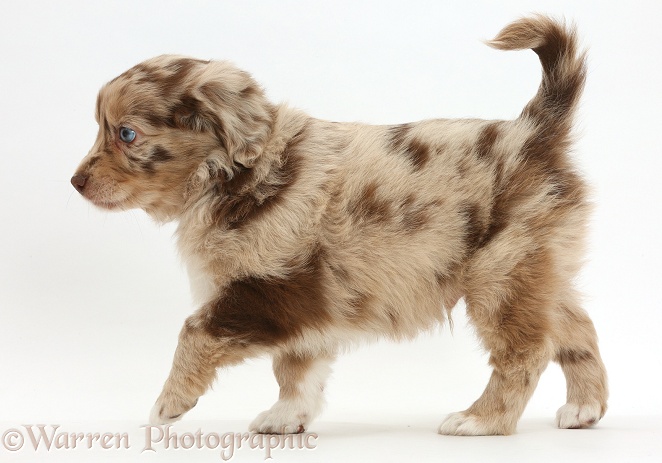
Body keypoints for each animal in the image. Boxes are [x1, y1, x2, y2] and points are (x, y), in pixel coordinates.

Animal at [72, 14, 612, 436]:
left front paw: (169, 403)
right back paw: (585, 408)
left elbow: (194, 331)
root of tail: (534, 132)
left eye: (126, 134)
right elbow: (294, 368)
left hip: (499, 276)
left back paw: (482, 419)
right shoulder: (305, 307)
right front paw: (286, 418)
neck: (234, 174)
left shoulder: (266, 289)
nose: (75, 182)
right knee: (576, 328)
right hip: (539, 269)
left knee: (526, 352)